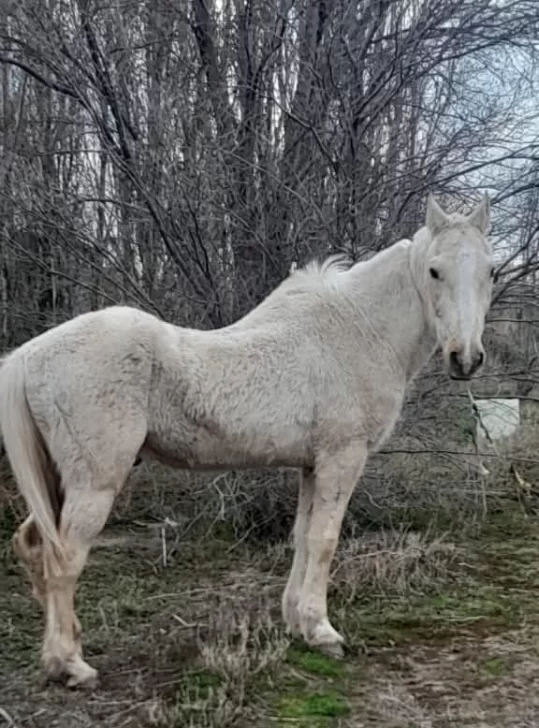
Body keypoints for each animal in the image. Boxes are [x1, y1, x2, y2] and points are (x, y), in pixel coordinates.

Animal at [0, 194, 495, 689]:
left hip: (57, 480)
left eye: (490, 271)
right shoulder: (342, 458)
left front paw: (297, 623)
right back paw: (72, 664)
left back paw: (56, 657)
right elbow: (325, 539)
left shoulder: (311, 465)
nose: (466, 359)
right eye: (434, 271)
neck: (356, 332)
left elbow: (302, 536)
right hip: (94, 483)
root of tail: (30, 354)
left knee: (34, 545)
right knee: (64, 559)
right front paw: (322, 631)